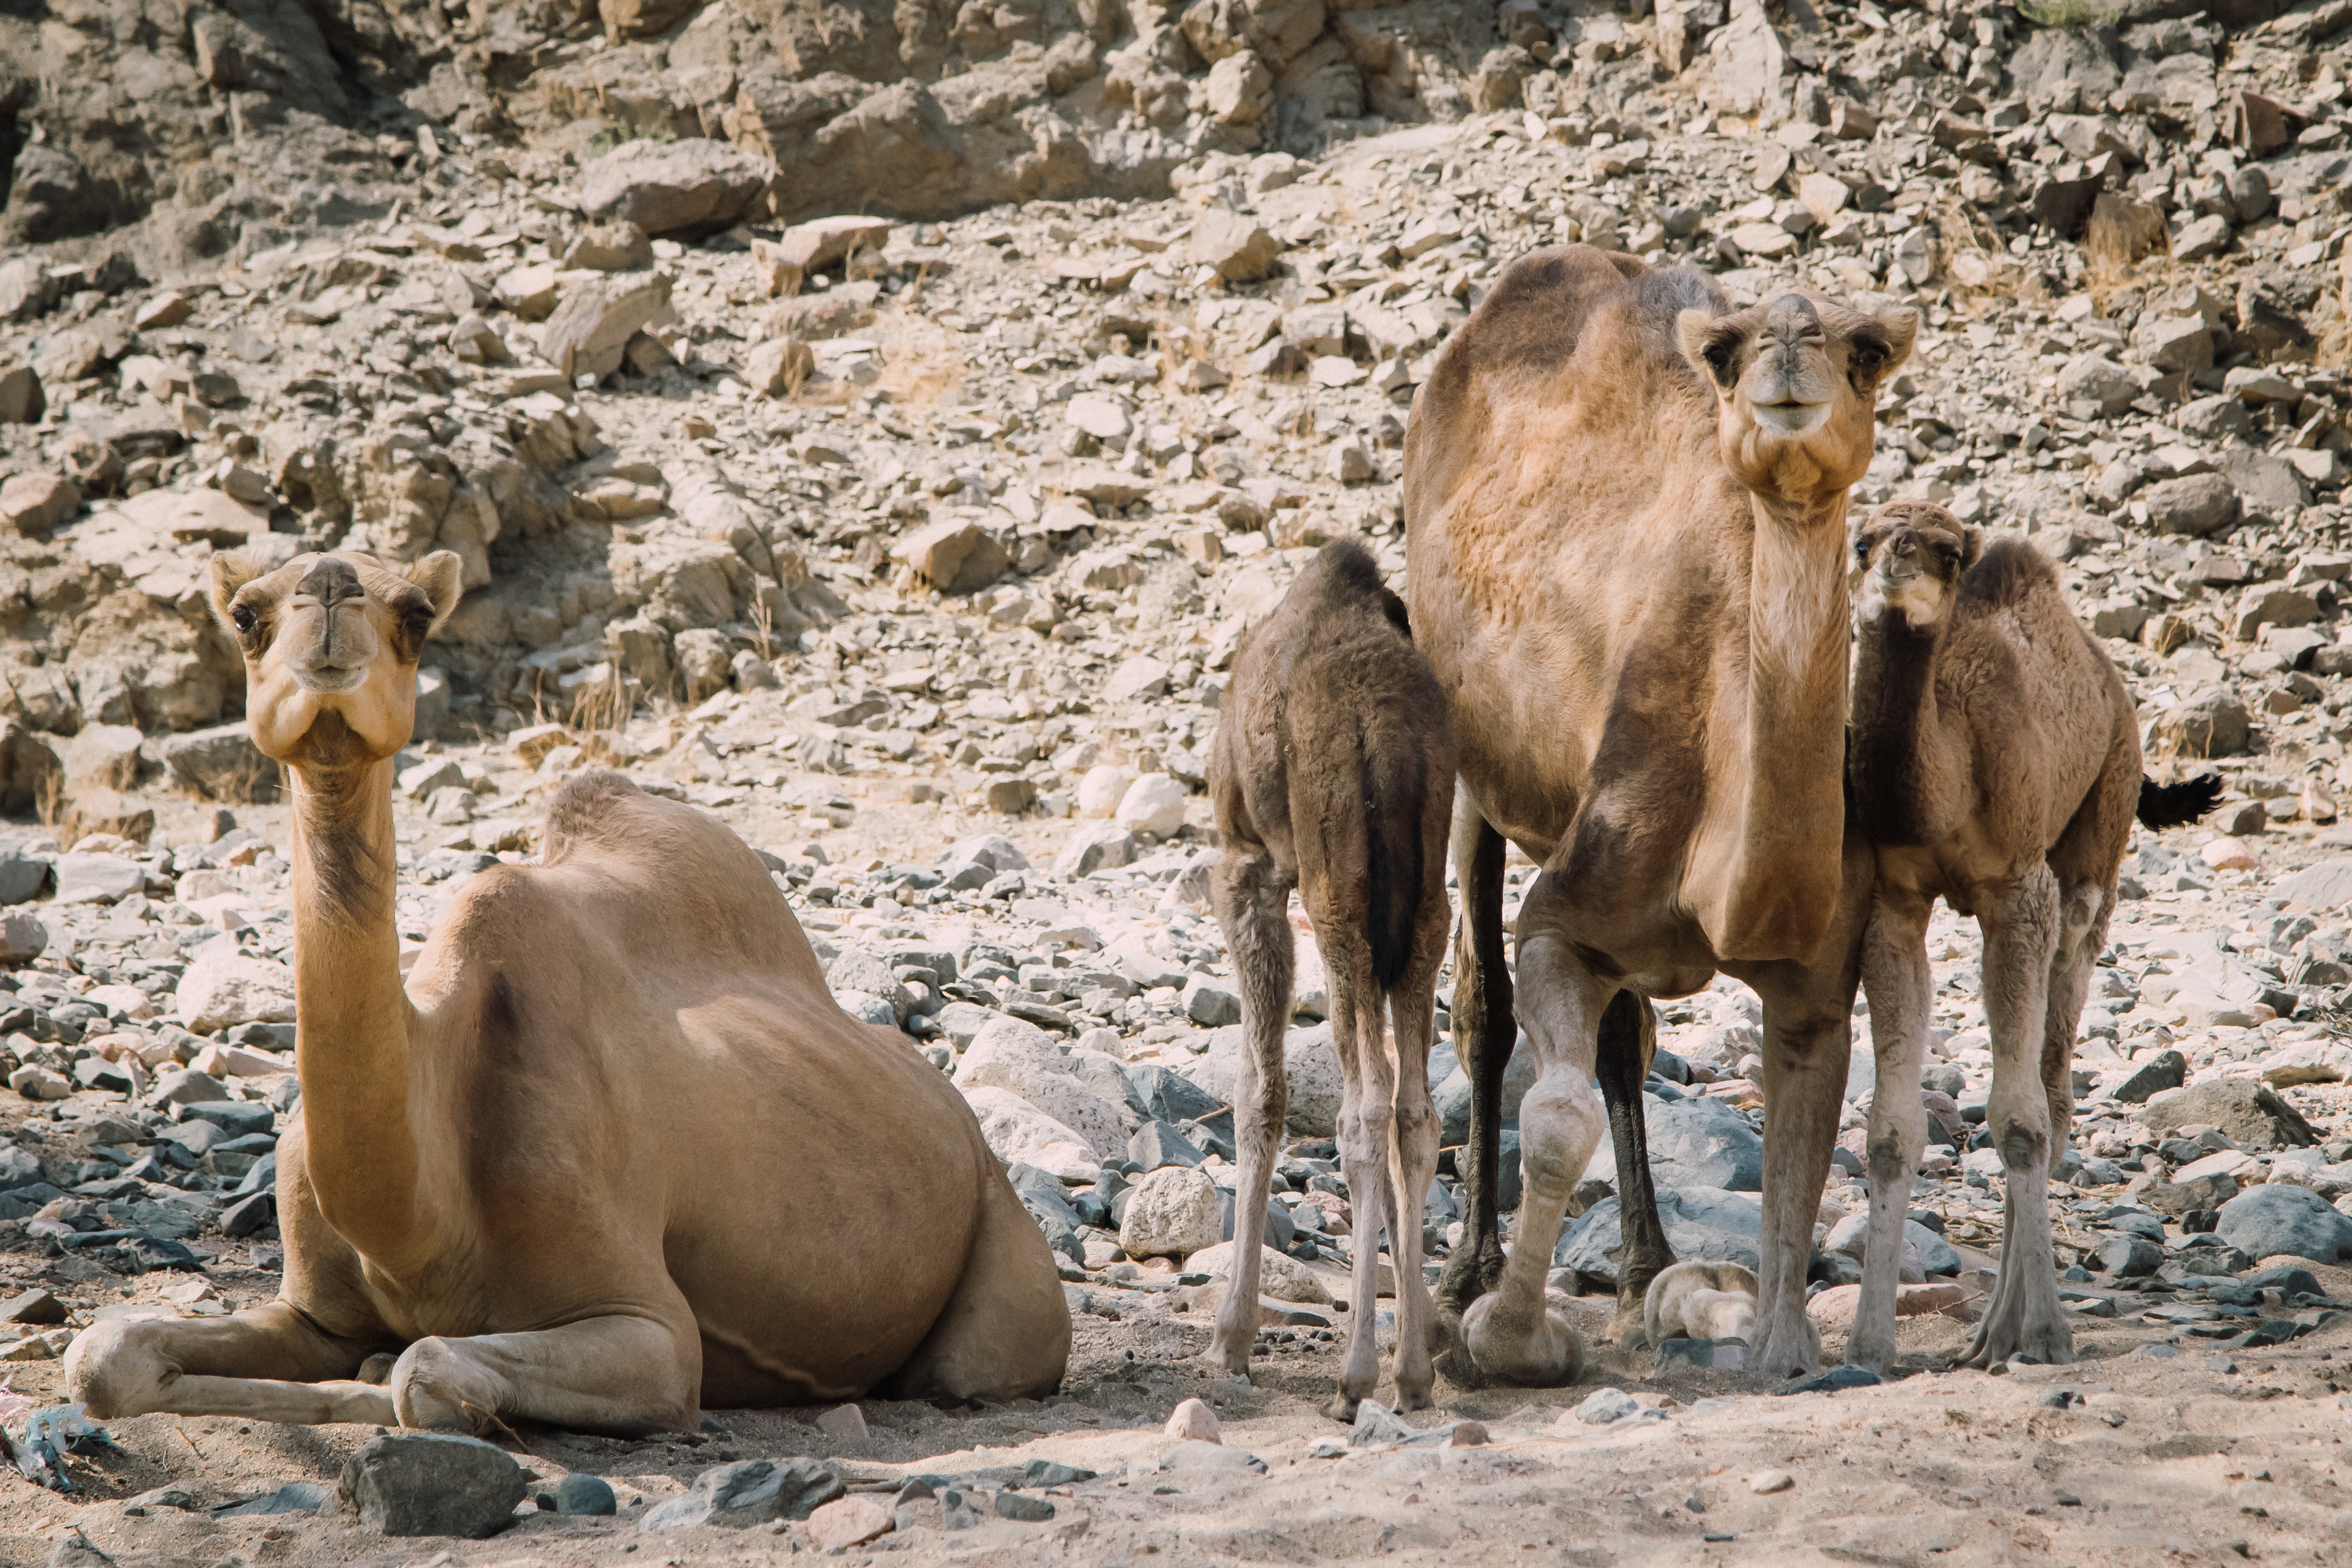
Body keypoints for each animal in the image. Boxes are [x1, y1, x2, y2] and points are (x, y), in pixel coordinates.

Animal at [65, 550, 1069, 1434]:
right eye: (246, 615)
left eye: (416, 614)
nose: (331, 590)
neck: (421, 1217)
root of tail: (959, 1113)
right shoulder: (311, 1312)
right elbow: (106, 1355)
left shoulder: (652, 1327)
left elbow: (424, 1371)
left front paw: (391, 1369)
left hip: (1003, 1273)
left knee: (970, 1366)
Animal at [1205, 539, 1457, 1419]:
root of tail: (1388, 740)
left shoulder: (1246, 863)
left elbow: (1260, 1092)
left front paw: (1230, 1337)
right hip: (1423, 903)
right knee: (1415, 1109)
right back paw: (1408, 1372)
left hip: (1337, 891)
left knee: (1365, 1106)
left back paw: (1356, 1376)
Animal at [1404, 246, 1917, 1383]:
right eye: (1723, 354)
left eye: (1866, 352)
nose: (1789, 343)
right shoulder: (1565, 912)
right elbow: (1554, 1115)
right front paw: (1505, 1331)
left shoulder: (1815, 978)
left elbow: (1797, 1145)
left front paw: (1769, 1331)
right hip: (1467, 756)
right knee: (1483, 1002)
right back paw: (1465, 1271)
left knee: (1623, 1034)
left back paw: (1645, 1266)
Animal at [1845, 503, 2217, 1372]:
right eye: (1861, 541)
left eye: (1947, 553)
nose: (1896, 561)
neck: (1944, 768)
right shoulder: (1890, 903)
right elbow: (1889, 1130)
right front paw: (1868, 1343)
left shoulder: (2018, 892)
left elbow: (2018, 1120)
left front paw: (2046, 1333)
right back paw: (1987, 1330)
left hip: (2096, 835)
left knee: (2053, 1091)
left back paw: (2007, 1327)